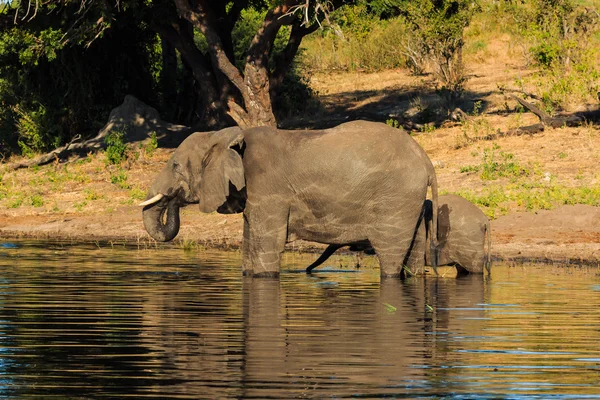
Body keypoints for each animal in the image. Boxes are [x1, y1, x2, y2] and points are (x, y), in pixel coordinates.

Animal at [141, 121, 440, 278]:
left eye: (176, 166)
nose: (173, 199)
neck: (228, 136)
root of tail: (426, 160)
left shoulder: (268, 188)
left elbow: (267, 247)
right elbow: (250, 245)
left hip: (395, 199)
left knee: (389, 256)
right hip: (408, 202)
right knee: (414, 256)